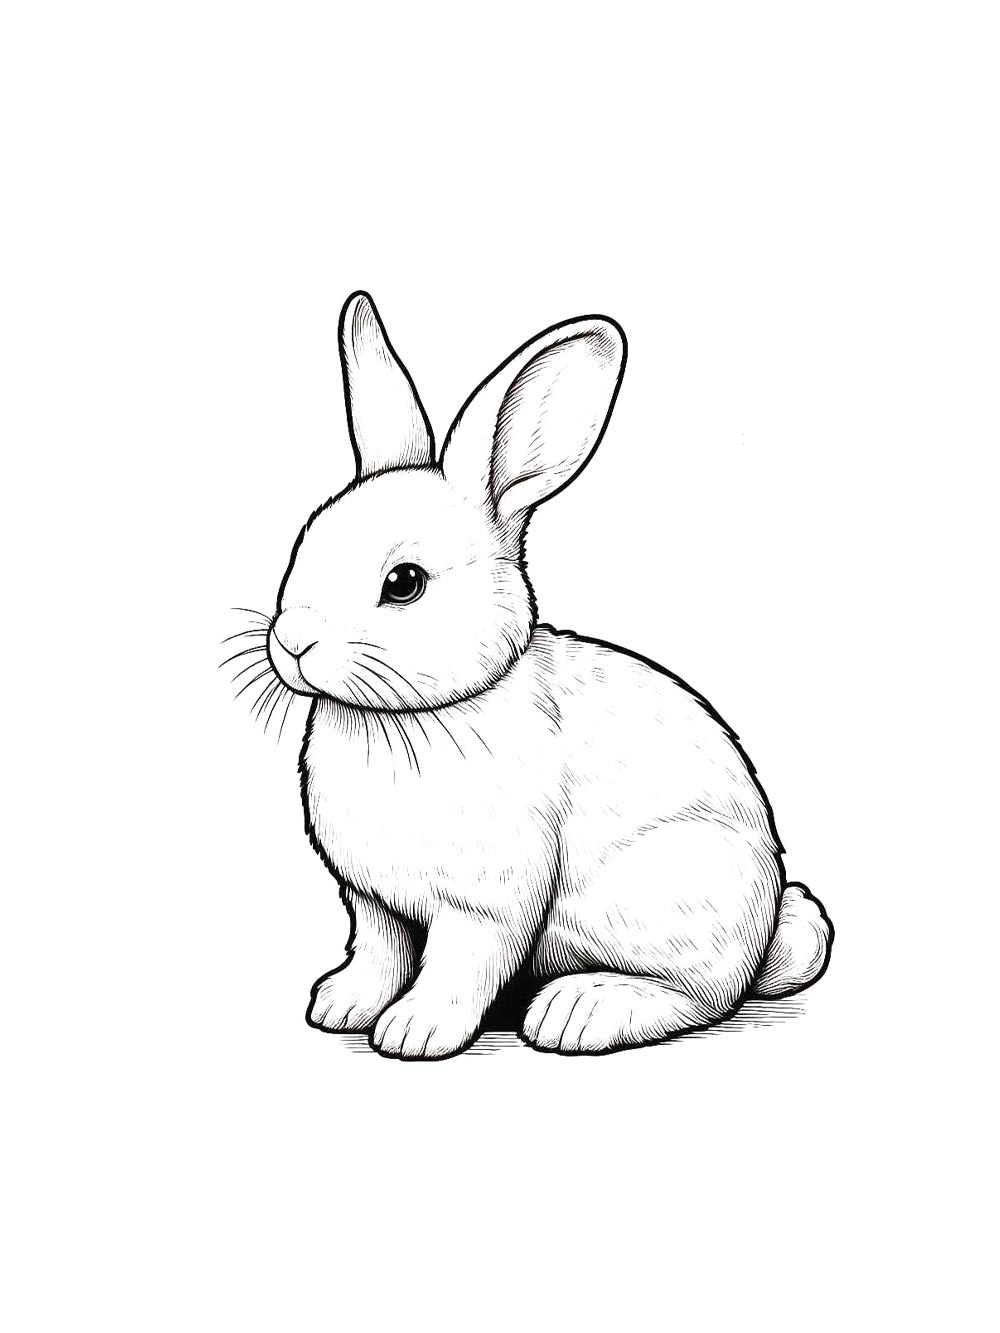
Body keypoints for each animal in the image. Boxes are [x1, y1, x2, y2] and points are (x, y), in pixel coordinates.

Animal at [261, 291, 833, 1059]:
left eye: (403, 582)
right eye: (305, 543)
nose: (293, 640)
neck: (409, 716)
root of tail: (769, 924)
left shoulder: (485, 903)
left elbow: (459, 965)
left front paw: (416, 1032)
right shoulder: (375, 902)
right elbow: (379, 953)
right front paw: (341, 1005)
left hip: (672, 891)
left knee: (705, 995)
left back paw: (580, 1010)